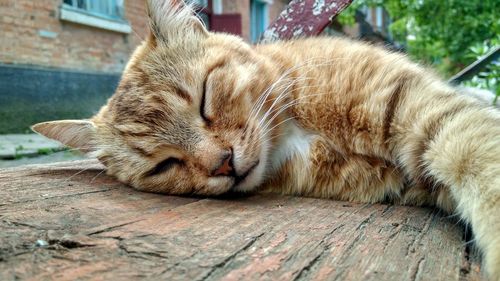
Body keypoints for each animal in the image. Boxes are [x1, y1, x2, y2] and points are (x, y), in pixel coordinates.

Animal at [32, 0, 500, 278]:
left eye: (204, 98)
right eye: (163, 164)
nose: (222, 162)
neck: (295, 129)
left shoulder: (427, 110)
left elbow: (482, 164)